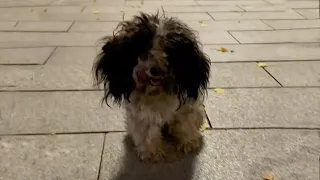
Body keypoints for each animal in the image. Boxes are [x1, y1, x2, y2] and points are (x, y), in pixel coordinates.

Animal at [92, 11, 210, 162]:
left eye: (169, 51)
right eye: (144, 50)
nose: (155, 70)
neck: (158, 92)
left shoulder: (187, 107)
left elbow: (185, 123)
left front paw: (188, 142)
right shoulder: (142, 115)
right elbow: (147, 132)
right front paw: (151, 152)